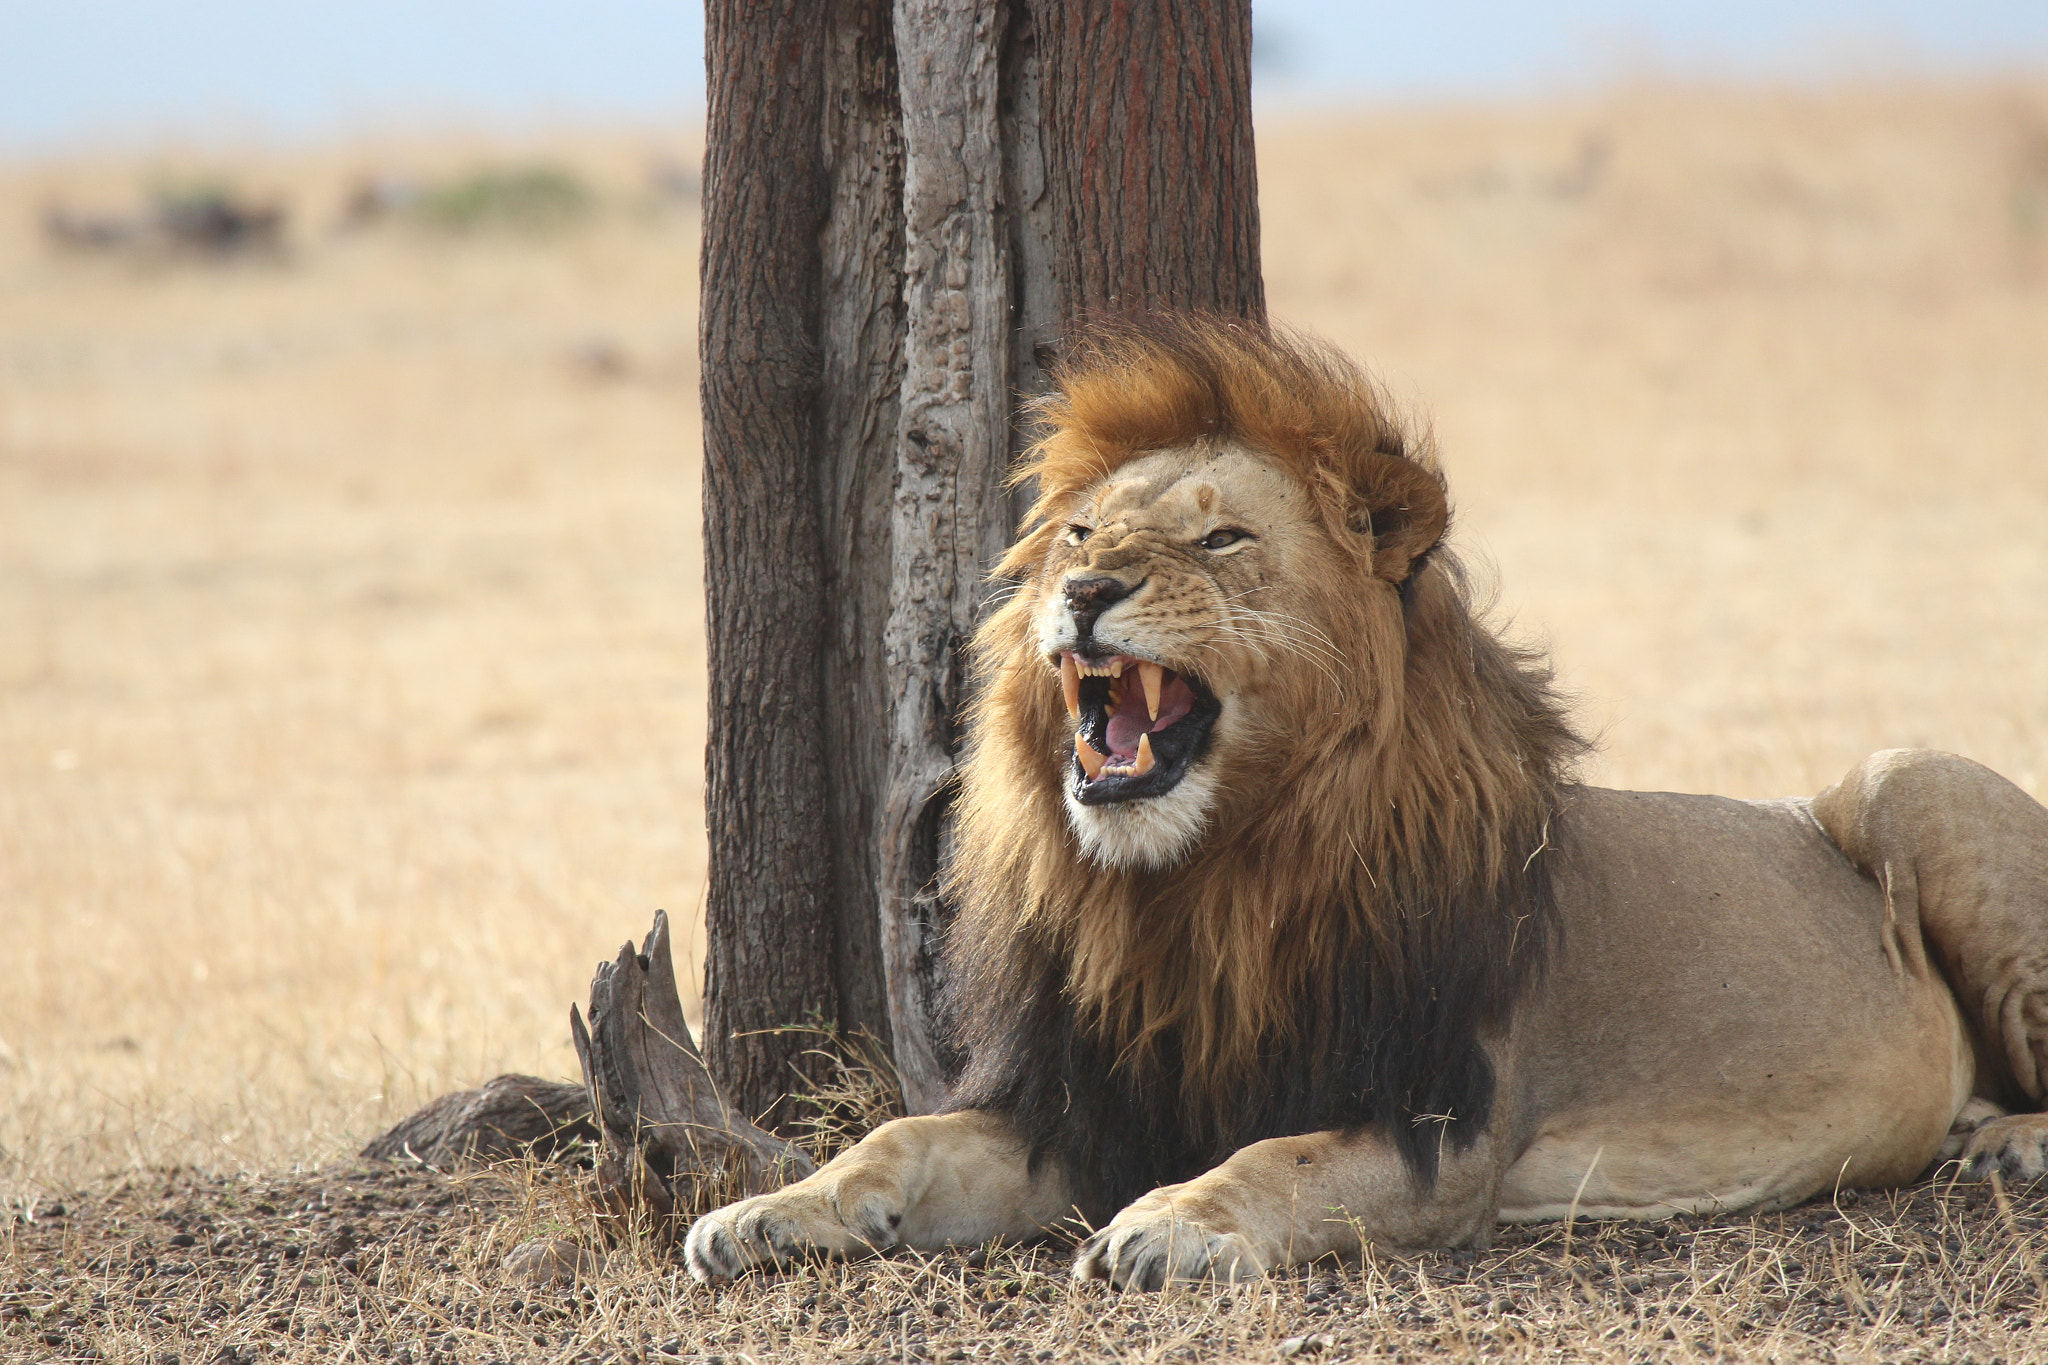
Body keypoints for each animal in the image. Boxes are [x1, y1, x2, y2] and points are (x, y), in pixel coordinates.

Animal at [685, 314, 2048, 1289]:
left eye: (1222, 539)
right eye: (1075, 534)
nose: (1084, 592)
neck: (1203, 881)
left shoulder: (1442, 1122)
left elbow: (1277, 1156)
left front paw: (1169, 1224)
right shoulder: (1084, 1102)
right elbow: (896, 1141)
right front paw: (761, 1210)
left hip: (1905, 777)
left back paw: (2013, 1140)